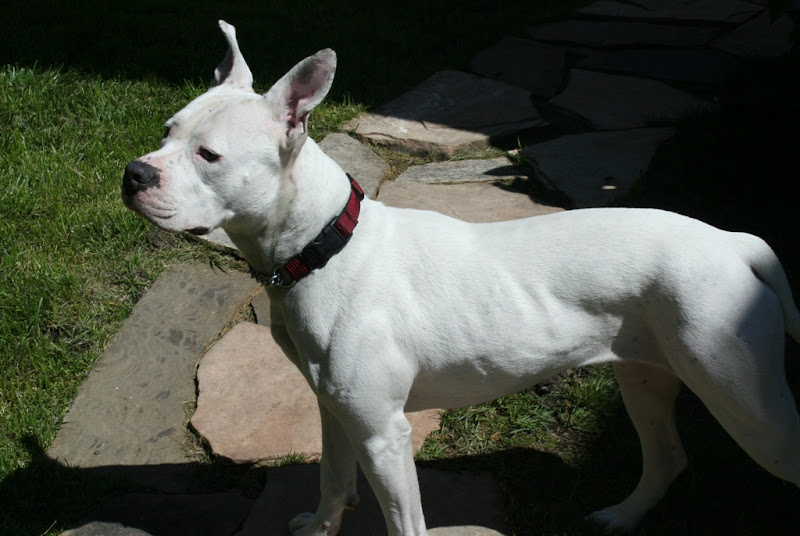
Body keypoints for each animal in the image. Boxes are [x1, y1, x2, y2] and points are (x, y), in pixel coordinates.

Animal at [120, 21, 800, 536]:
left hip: (745, 401)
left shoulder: (383, 435)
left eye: (209, 155)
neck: (323, 244)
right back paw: (622, 517)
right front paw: (318, 527)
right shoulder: (334, 412)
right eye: (167, 132)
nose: (135, 173)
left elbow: (403, 523)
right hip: (646, 374)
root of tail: (733, 242)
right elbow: (331, 481)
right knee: (667, 458)